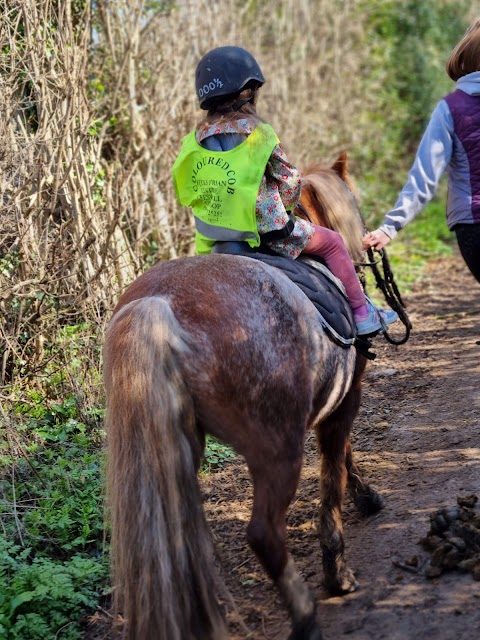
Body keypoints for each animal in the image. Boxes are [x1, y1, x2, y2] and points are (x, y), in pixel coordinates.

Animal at [106, 154, 386, 640]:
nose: (368, 244)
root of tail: (159, 304)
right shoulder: (345, 400)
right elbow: (335, 470)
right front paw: (340, 567)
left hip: (178, 449)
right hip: (276, 450)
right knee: (263, 534)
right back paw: (305, 616)